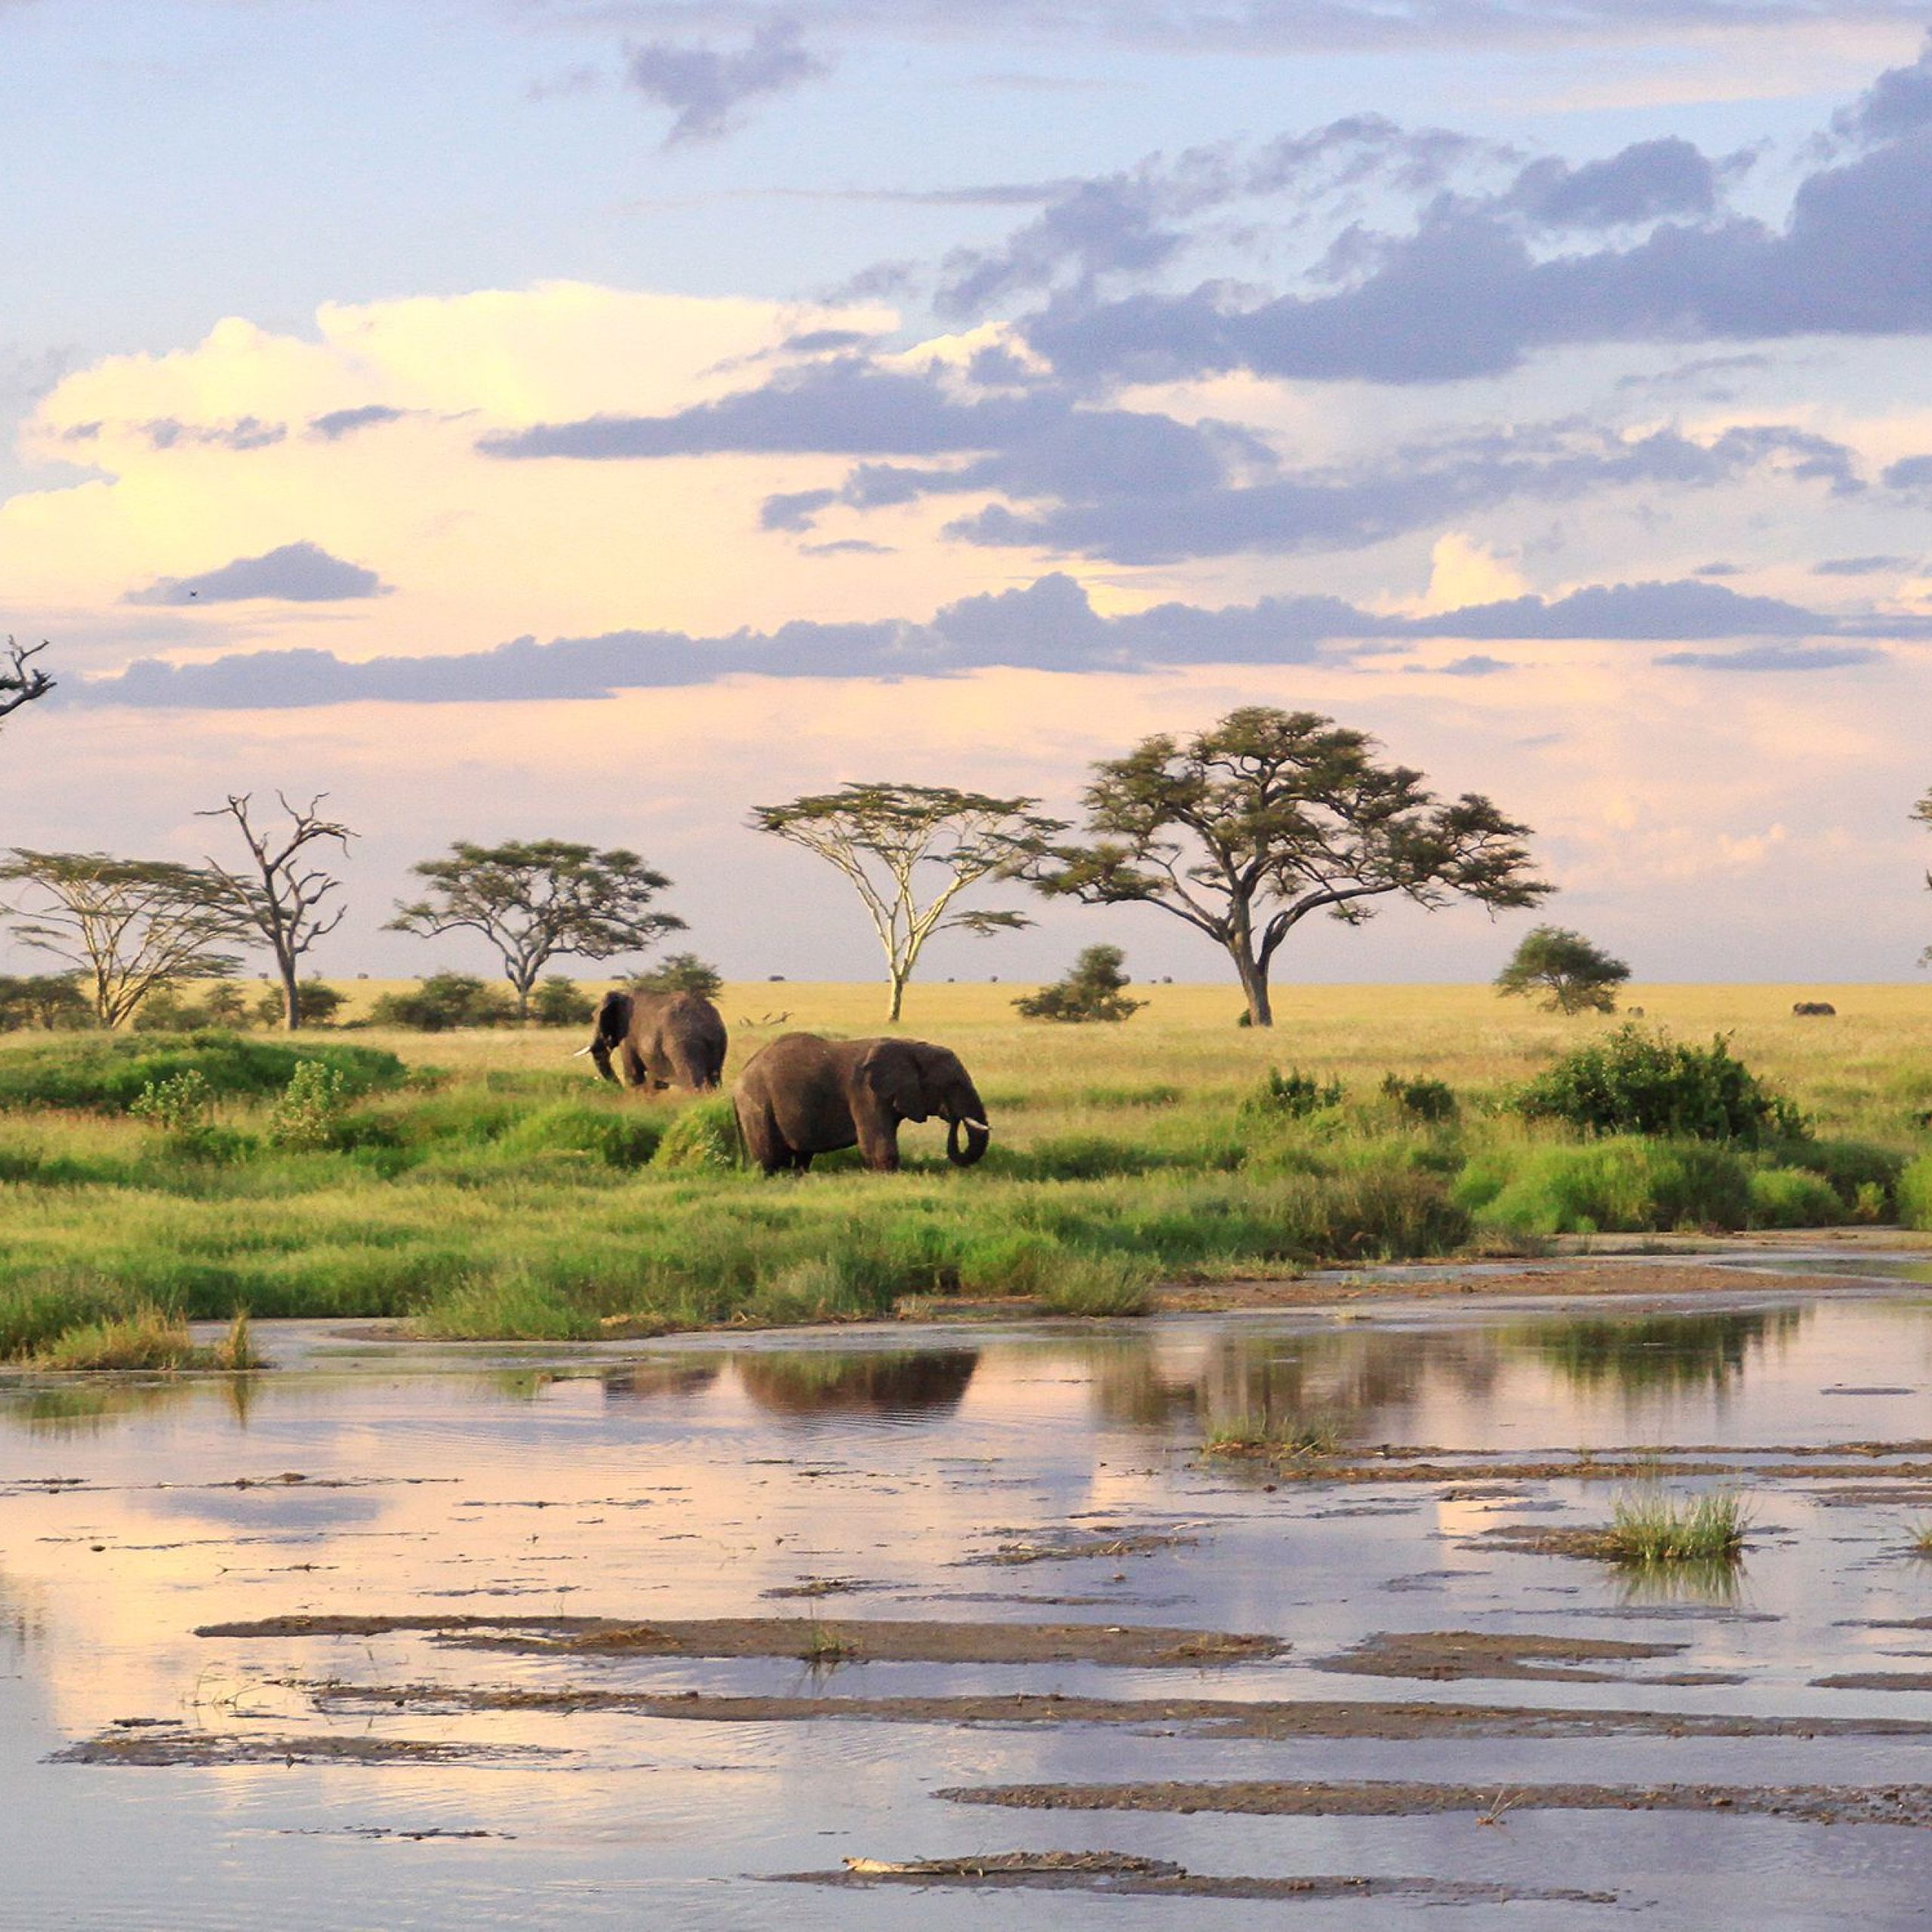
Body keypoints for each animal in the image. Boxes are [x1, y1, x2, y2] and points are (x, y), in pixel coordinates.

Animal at [575, 989, 726, 1097]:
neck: (622, 993)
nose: (620, 1090)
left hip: (683, 1044)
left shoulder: (628, 1035)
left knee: (693, 1079)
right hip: (717, 1043)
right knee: (715, 1078)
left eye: (595, 1018)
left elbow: (633, 1074)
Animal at [730, 1027, 989, 1174]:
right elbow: (877, 1144)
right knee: (771, 1156)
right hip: (757, 1102)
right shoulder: (865, 1091)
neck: (910, 1048)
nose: (953, 1118)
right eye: (954, 1084)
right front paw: (887, 1176)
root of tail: (740, 1076)